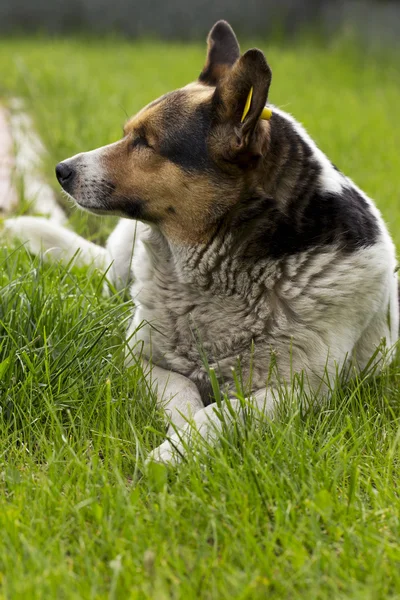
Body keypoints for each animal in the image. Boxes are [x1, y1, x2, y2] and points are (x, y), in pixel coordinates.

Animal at [5, 19, 396, 464]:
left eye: (145, 142)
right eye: (127, 134)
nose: (60, 171)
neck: (221, 276)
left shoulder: (303, 390)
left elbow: (224, 412)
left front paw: (179, 448)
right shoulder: (141, 358)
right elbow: (183, 396)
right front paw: (179, 440)